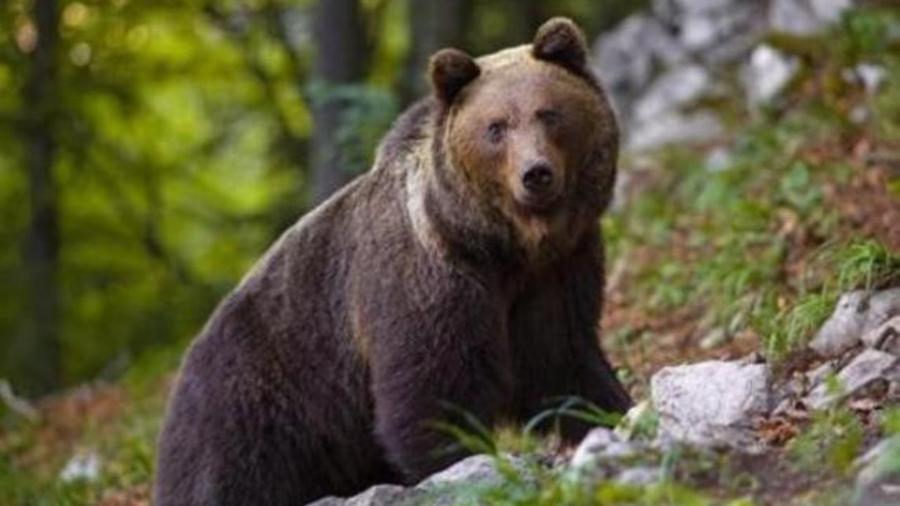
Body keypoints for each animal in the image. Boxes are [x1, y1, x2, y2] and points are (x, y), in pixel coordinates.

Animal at [154, 17, 631, 506]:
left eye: (548, 113)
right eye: (496, 127)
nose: (535, 173)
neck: (500, 246)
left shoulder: (556, 273)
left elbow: (563, 362)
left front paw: (613, 413)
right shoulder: (427, 280)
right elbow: (432, 390)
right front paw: (461, 466)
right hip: (254, 403)